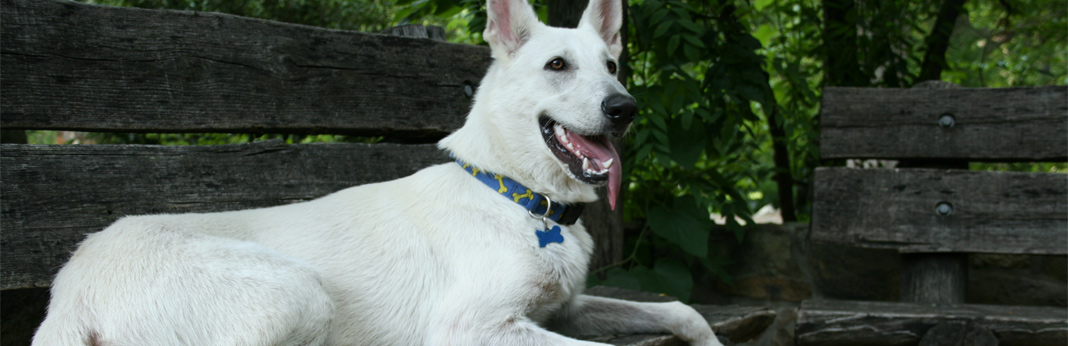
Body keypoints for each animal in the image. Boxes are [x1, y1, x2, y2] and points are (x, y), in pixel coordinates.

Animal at [31, 0, 726, 343]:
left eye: (611, 65)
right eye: (557, 65)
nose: (625, 109)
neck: (516, 197)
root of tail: (69, 292)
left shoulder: (566, 307)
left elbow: (683, 311)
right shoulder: (475, 327)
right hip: (297, 292)